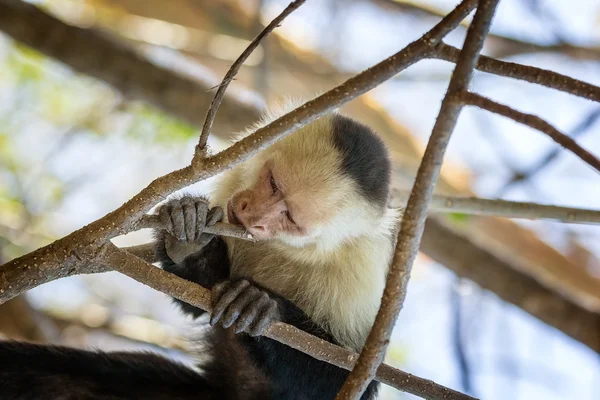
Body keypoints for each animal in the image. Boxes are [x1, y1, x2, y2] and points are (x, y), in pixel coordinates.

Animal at [1, 104, 404, 400]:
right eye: (273, 183)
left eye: (290, 217)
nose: (252, 215)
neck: (288, 249)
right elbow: (195, 301)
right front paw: (191, 239)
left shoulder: (360, 274)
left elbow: (352, 378)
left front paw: (262, 305)